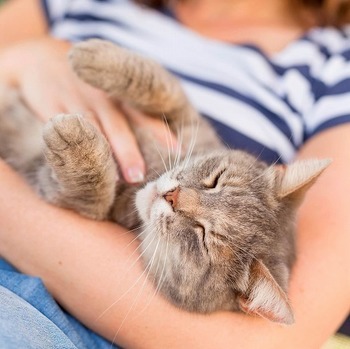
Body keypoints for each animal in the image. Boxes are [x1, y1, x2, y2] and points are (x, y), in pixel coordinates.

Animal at [0, 39, 330, 324]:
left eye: (203, 237)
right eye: (215, 180)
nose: (172, 195)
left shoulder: (78, 203)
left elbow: (88, 194)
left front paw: (75, 142)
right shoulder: (189, 122)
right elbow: (164, 87)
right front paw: (93, 56)